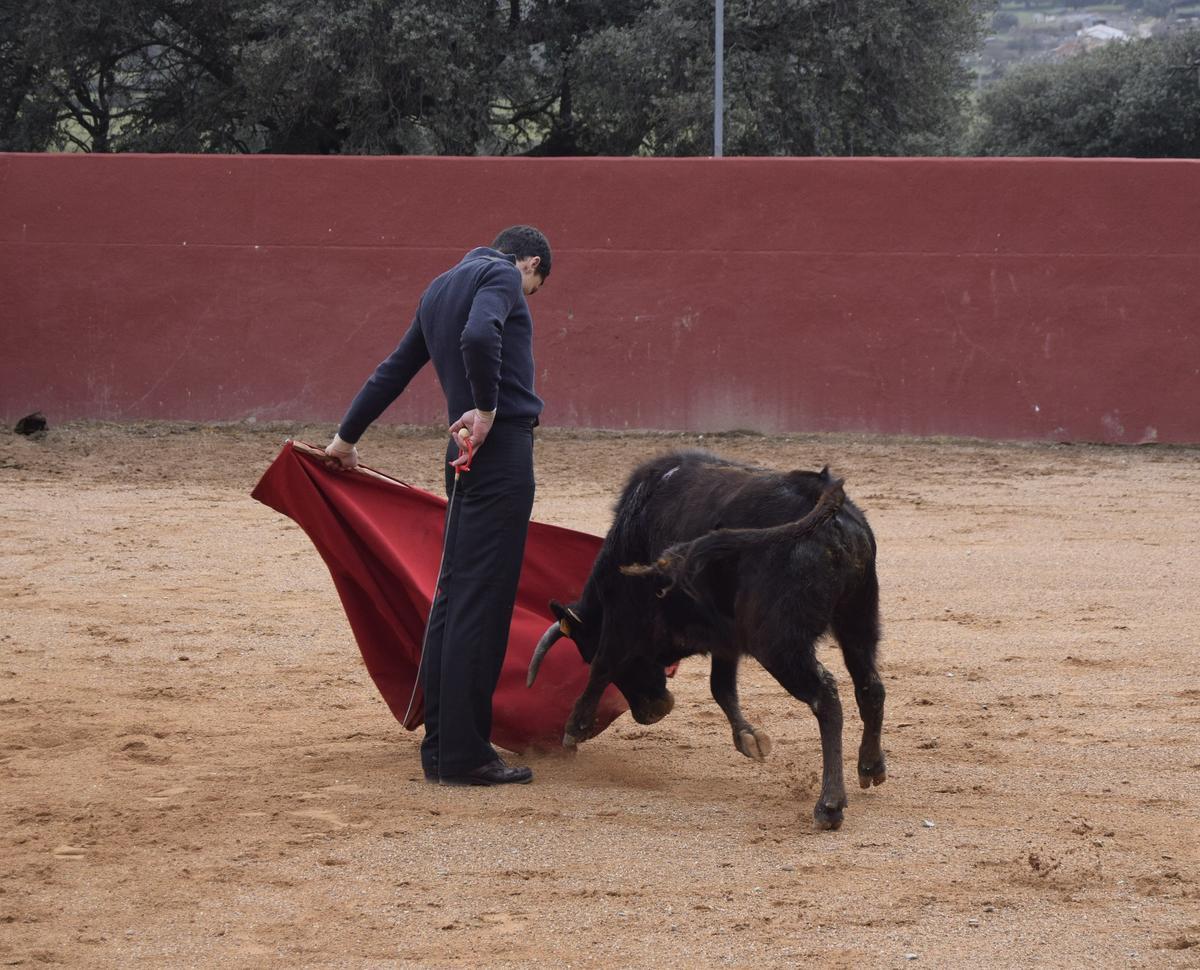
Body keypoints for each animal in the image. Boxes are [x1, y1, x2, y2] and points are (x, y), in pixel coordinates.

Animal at [530, 451, 888, 830]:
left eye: (583, 650)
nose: (652, 713)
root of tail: (827, 503)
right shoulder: (724, 638)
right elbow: (721, 687)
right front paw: (749, 738)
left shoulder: (623, 615)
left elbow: (604, 664)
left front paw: (574, 729)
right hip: (858, 620)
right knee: (870, 686)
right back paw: (870, 766)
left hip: (778, 642)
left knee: (826, 697)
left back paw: (829, 804)